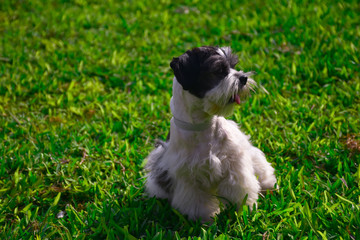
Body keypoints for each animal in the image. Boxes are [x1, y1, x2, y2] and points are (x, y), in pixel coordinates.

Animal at [145, 45, 278, 221]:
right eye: (219, 70)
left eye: (234, 65)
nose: (243, 77)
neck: (203, 126)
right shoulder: (188, 177)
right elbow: (196, 201)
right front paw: (205, 219)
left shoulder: (235, 163)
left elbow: (240, 188)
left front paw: (246, 210)